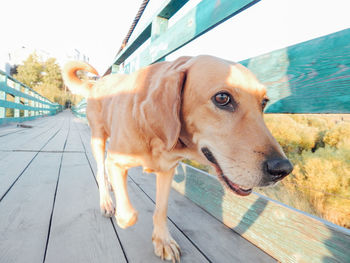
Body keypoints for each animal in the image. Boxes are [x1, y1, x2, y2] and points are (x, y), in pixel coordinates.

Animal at [62, 55, 292, 262]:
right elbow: (128, 216)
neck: (160, 138)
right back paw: (107, 201)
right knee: (100, 170)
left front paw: (162, 241)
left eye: (264, 103)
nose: (283, 169)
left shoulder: (167, 171)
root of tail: (96, 83)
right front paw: (121, 213)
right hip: (98, 139)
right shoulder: (116, 161)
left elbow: (161, 210)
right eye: (222, 98)